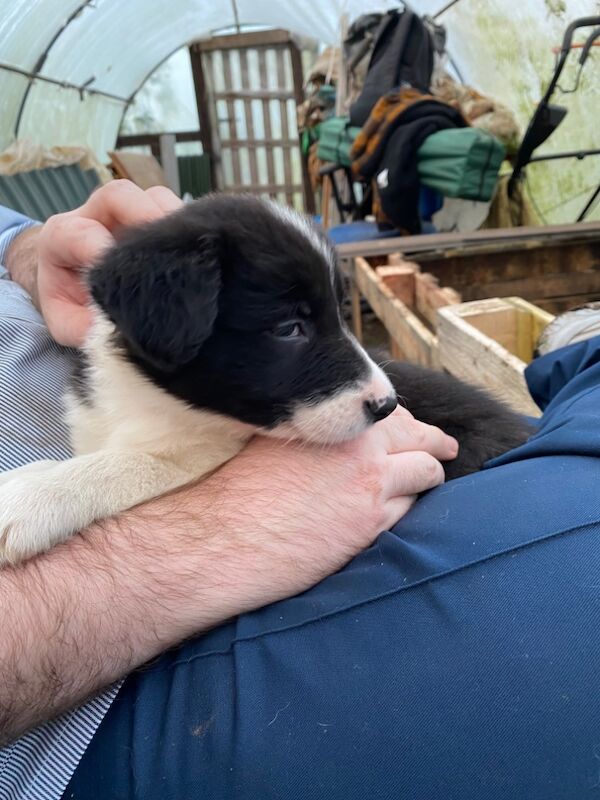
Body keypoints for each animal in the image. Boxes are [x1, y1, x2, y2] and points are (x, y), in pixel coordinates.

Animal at [0, 195, 528, 564]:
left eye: (342, 312)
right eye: (289, 328)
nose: (387, 406)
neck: (153, 402)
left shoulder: (203, 457)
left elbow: (134, 464)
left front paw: (30, 496)